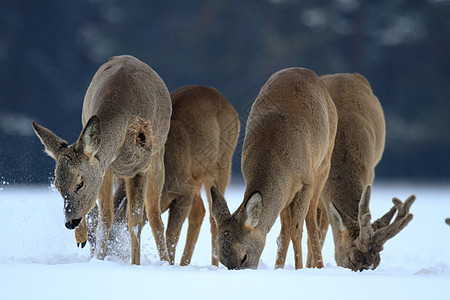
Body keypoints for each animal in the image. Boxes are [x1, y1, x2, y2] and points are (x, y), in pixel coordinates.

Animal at [32, 54, 172, 264]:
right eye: (56, 185)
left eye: (80, 183)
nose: (69, 222)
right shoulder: (104, 169)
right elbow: (106, 218)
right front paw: (98, 259)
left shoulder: (140, 167)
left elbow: (135, 221)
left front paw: (135, 264)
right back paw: (82, 236)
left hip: (157, 159)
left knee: (155, 216)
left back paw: (167, 261)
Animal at [75, 85, 241, 266]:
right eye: (90, 240)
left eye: (116, 237)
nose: (107, 258)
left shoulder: (184, 191)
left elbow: (171, 236)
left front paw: (168, 263)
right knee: (200, 211)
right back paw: (185, 263)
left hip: (222, 163)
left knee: (212, 216)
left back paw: (213, 264)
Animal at [211, 67, 338, 270]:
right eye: (222, 261)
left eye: (244, 257)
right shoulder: (284, 187)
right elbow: (284, 231)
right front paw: (279, 268)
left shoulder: (306, 182)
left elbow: (297, 229)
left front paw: (299, 268)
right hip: (288, 193)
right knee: (285, 227)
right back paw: (280, 266)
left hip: (324, 164)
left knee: (311, 221)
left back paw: (318, 266)